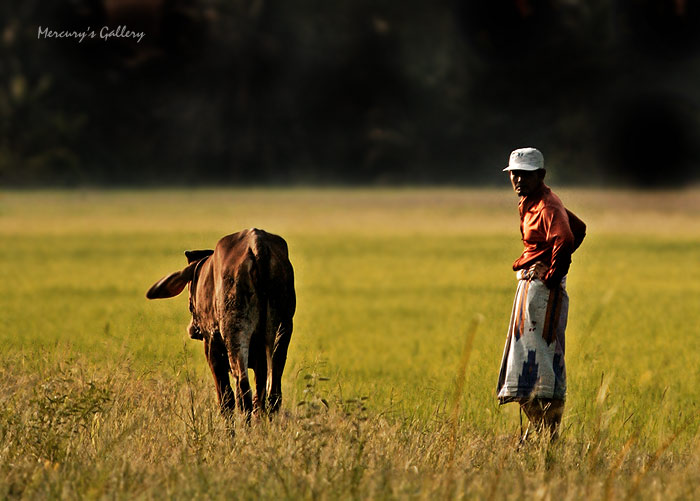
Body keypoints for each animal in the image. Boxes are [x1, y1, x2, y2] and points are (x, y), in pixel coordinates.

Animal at [146, 229, 294, 416]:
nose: (192, 329)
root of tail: (256, 243)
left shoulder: (211, 347)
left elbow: (226, 396)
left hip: (235, 331)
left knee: (242, 389)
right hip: (282, 331)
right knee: (272, 392)